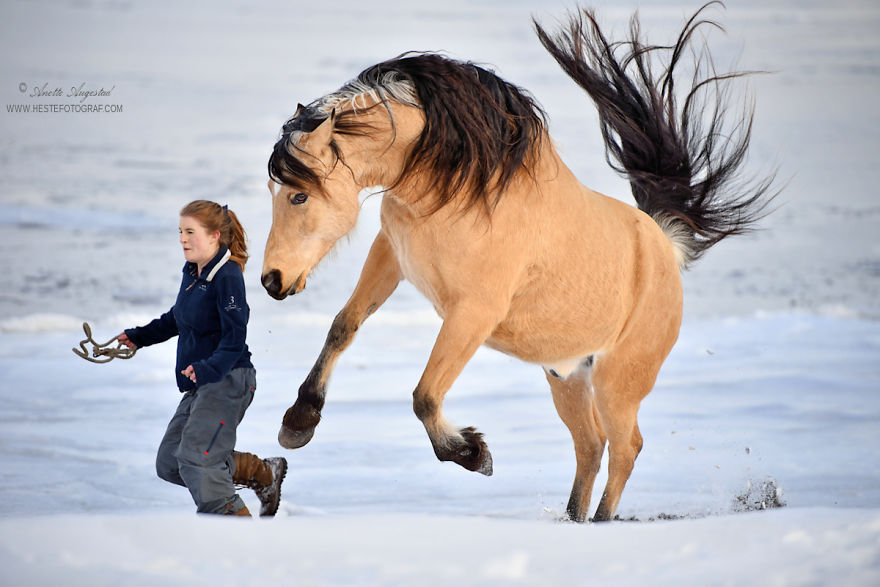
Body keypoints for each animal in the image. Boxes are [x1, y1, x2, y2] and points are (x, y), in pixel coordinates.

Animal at [261, 2, 776, 522]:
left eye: (299, 195)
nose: (271, 280)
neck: (458, 184)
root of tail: (664, 244)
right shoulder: (392, 255)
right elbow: (343, 327)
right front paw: (298, 423)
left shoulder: (473, 313)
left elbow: (425, 396)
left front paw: (474, 453)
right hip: (567, 376)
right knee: (591, 446)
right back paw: (574, 521)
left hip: (619, 382)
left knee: (625, 448)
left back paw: (601, 522)